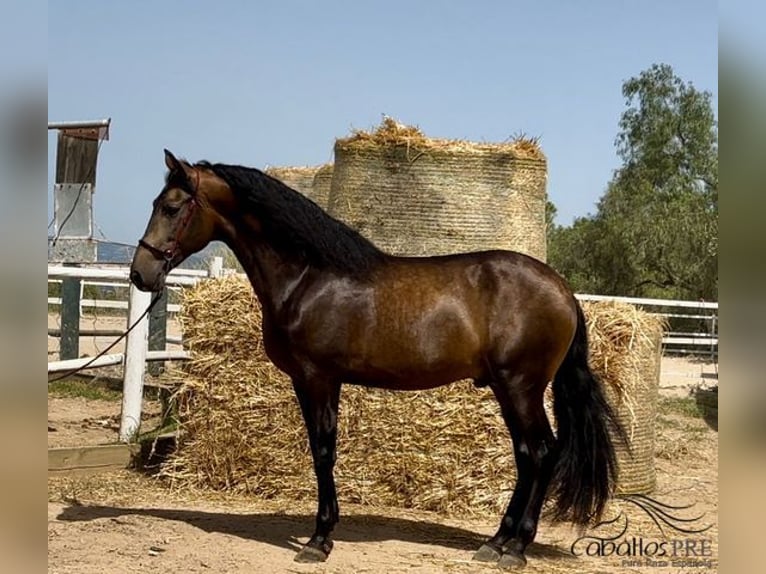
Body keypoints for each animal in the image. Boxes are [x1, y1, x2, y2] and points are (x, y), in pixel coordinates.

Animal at [130, 150, 624, 572]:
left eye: (171, 207)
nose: (140, 273)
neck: (309, 277)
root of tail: (563, 291)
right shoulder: (311, 382)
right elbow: (320, 450)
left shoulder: (319, 378)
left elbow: (323, 451)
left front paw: (319, 540)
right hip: (511, 390)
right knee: (528, 455)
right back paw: (496, 542)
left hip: (520, 386)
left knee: (540, 453)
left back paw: (515, 549)